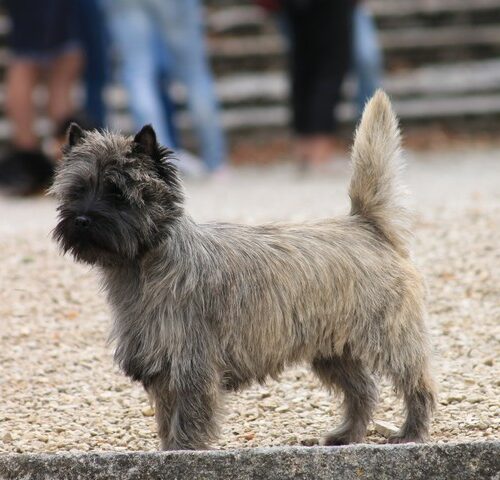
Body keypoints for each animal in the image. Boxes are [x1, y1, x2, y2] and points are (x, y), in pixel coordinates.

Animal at [49, 91, 434, 450]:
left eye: (118, 193)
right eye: (77, 190)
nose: (81, 219)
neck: (142, 268)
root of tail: (365, 225)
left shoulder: (191, 363)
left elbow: (188, 417)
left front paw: (182, 451)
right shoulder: (162, 367)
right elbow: (167, 416)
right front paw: (168, 449)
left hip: (389, 337)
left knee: (417, 382)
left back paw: (411, 433)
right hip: (333, 351)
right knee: (363, 390)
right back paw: (346, 436)